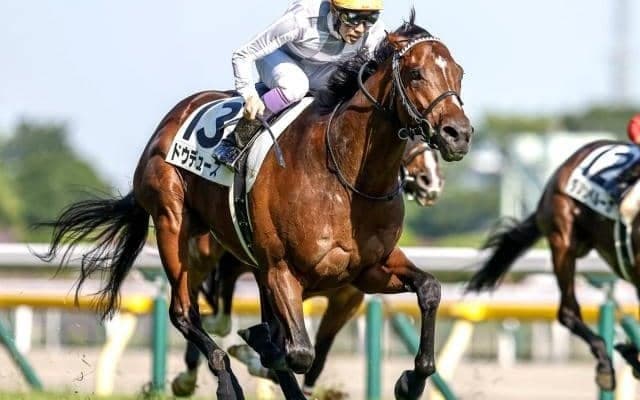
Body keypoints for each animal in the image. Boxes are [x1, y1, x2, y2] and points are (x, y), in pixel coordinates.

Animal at [171, 139, 445, 397]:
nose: (431, 182)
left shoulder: (346, 300)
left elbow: (317, 357)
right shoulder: (280, 278)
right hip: (202, 256)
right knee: (202, 298)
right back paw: (189, 375)